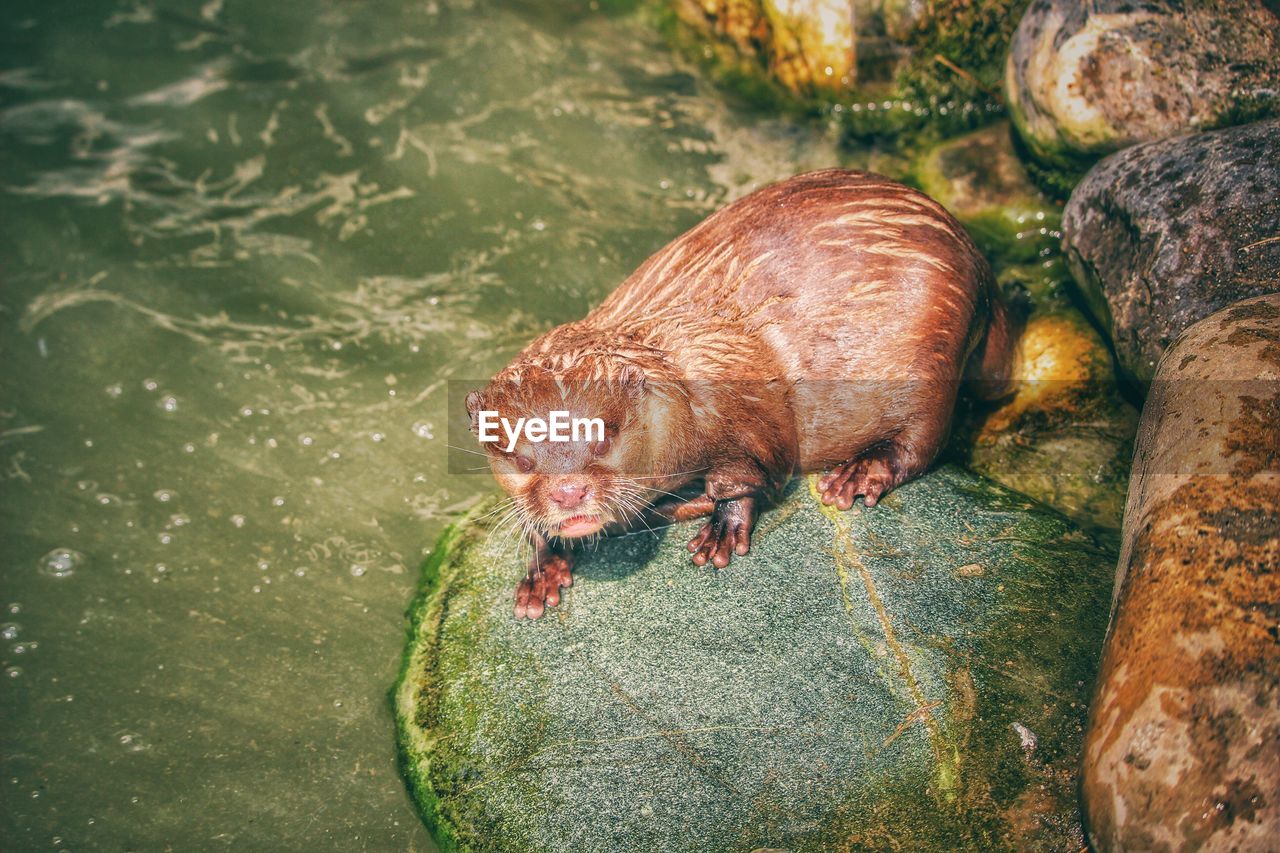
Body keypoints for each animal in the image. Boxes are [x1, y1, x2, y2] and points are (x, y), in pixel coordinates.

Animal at [468, 166, 1018, 617]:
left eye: (605, 437)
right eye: (519, 458)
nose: (568, 491)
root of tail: (973, 253)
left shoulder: (744, 404)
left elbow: (749, 475)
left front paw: (721, 532)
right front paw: (542, 571)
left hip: (934, 349)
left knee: (923, 441)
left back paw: (856, 475)